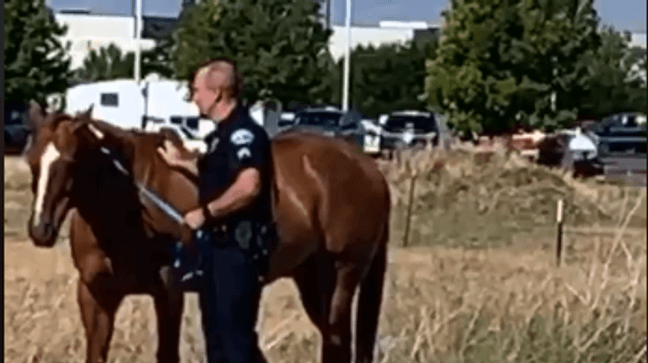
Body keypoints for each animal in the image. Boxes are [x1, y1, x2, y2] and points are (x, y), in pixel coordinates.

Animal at [24, 102, 390, 363]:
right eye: (31, 160)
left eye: (72, 162)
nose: (40, 229)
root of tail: (367, 166)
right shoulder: (95, 294)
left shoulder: (168, 293)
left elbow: (167, 355)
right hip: (312, 280)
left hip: (344, 274)